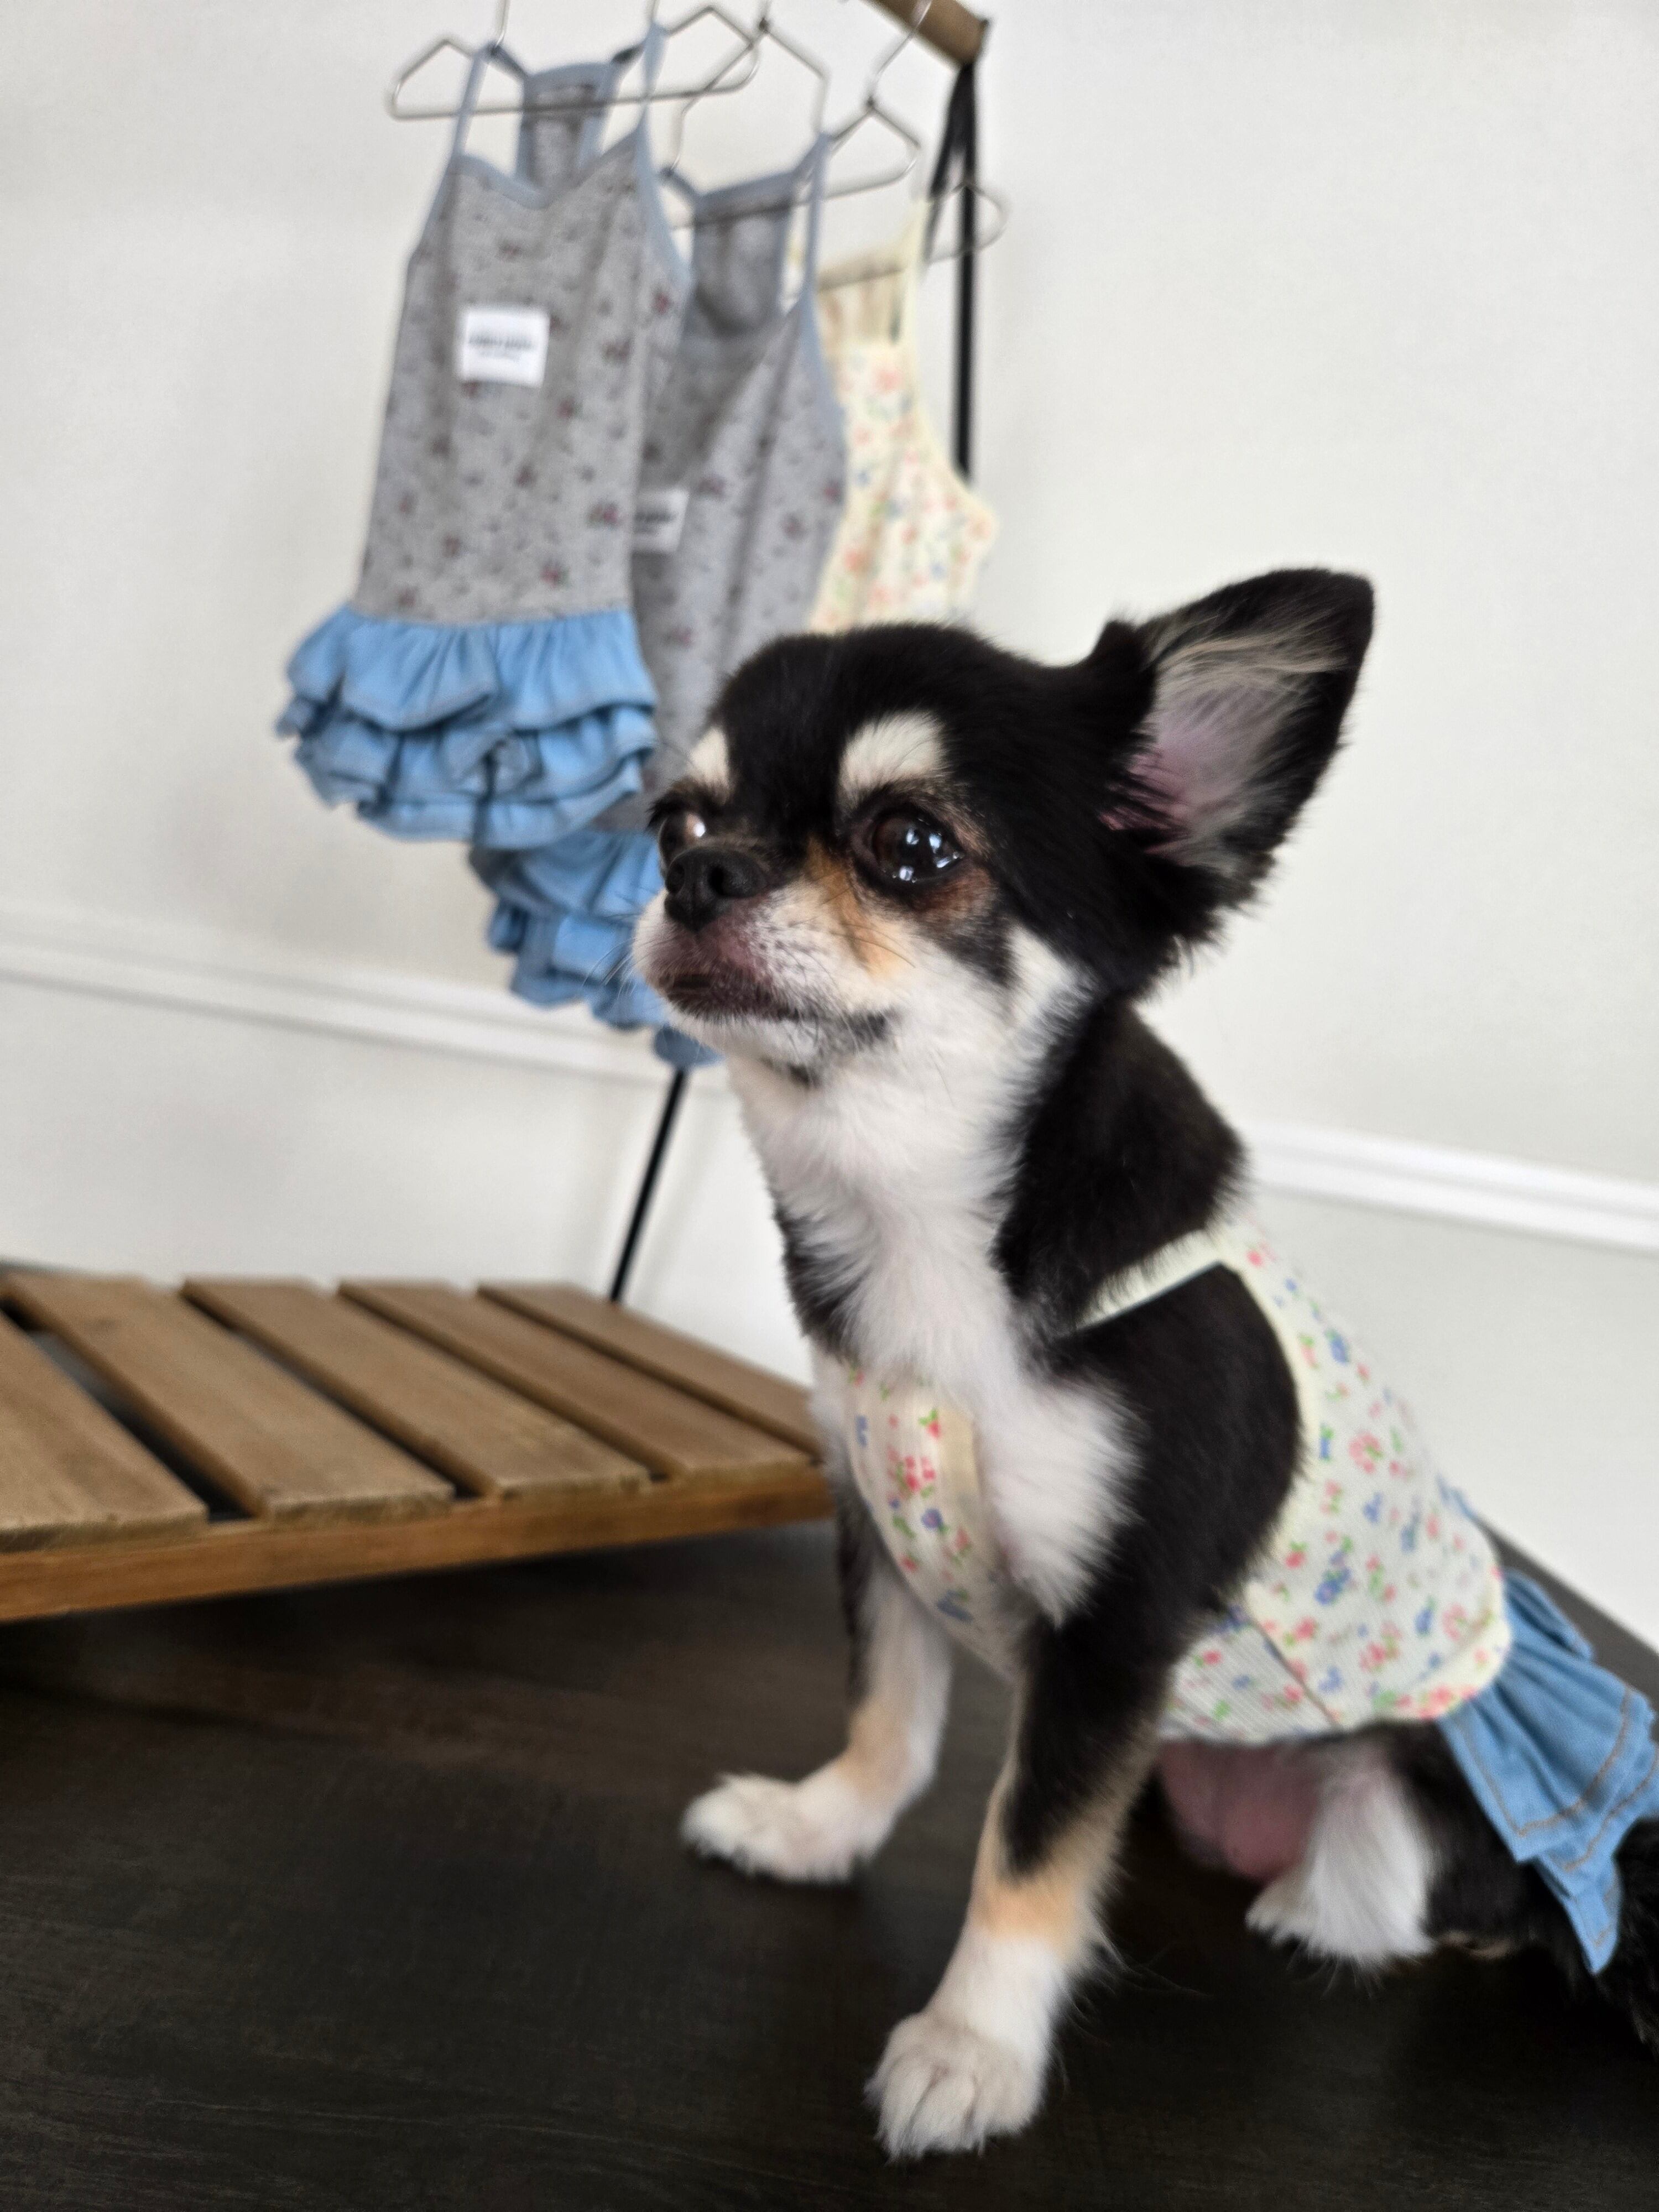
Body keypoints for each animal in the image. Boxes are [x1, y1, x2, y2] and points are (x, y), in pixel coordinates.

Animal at [632, 569, 1659, 2157]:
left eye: (911, 845)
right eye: (674, 823)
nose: (701, 878)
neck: (926, 1227)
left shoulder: (1117, 1631)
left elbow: (1029, 1847)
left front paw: (972, 2049)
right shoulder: (881, 1528)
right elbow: (892, 1719)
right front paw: (821, 1826)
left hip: (1398, 1818)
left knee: (1459, 1910)